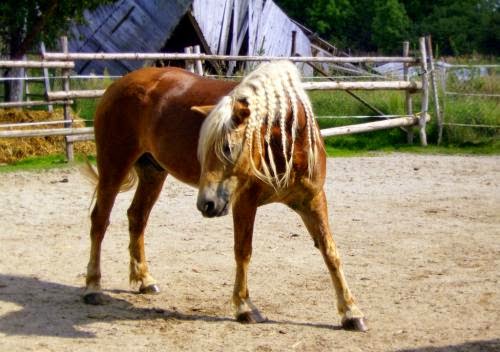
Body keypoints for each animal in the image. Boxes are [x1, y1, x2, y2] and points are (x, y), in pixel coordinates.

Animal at [83, 59, 368, 332]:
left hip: (153, 173)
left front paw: (351, 312)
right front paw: (244, 307)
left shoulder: (313, 200)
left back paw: (144, 280)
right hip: (114, 167)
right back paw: (93, 287)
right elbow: (243, 251)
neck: (286, 148)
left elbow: (330, 251)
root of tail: (118, 84)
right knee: (100, 221)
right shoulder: (244, 202)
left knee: (137, 218)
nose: (206, 204)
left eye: (229, 148)